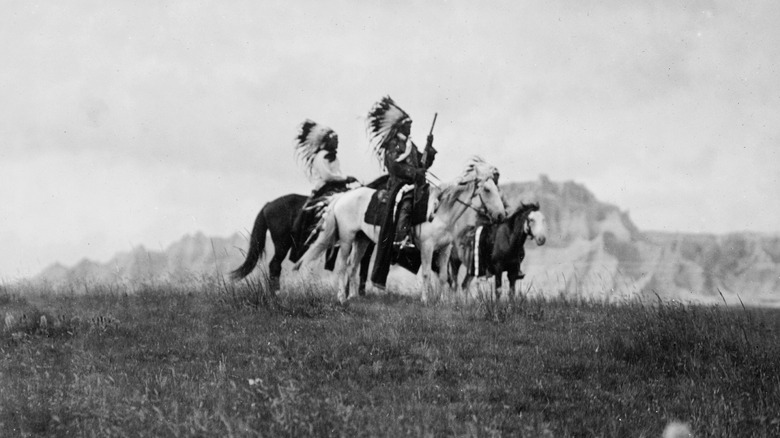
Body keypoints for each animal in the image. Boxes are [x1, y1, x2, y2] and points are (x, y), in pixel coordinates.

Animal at [292, 157, 506, 304]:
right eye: (487, 190)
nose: (501, 216)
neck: (440, 211)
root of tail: (343, 196)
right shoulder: (427, 247)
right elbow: (426, 273)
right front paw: (425, 300)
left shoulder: (444, 249)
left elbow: (444, 277)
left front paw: (443, 302)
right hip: (346, 239)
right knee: (343, 266)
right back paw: (341, 298)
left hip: (361, 240)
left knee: (353, 267)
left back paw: (353, 297)